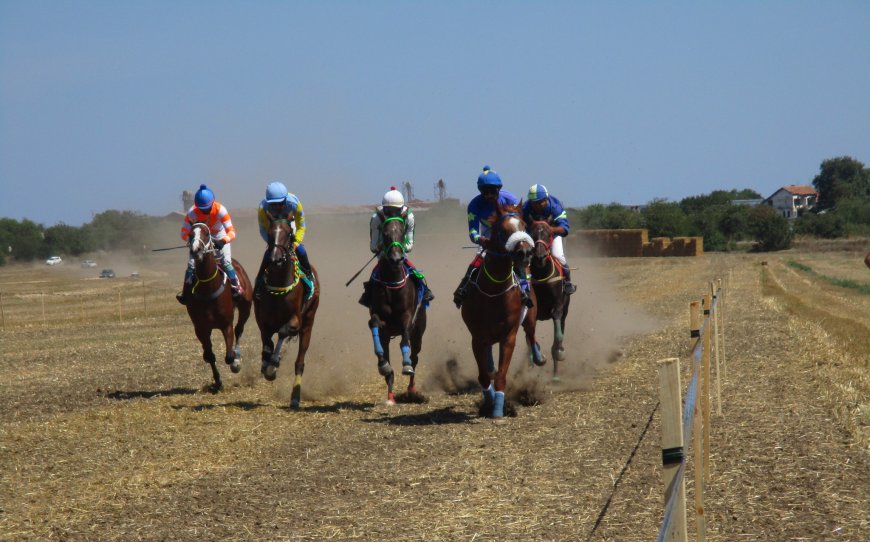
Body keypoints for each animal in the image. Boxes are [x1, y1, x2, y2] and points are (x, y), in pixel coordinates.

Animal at [183, 223, 254, 394]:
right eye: (190, 234)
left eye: (206, 233)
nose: (196, 250)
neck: (208, 288)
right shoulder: (201, 328)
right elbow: (209, 356)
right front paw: (217, 382)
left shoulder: (226, 325)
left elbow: (228, 356)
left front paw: (235, 363)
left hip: (245, 308)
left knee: (239, 329)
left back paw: (237, 358)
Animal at [254, 219, 322, 410]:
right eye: (270, 233)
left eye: (287, 234)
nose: (275, 258)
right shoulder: (262, 321)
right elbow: (267, 342)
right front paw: (266, 364)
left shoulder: (295, 320)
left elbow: (283, 332)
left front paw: (273, 365)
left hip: (308, 324)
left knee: (300, 362)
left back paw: (294, 398)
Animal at [366, 210, 428, 406]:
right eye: (385, 233)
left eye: (402, 232)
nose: (395, 258)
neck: (392, 283)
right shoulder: (379, 318)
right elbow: (374, 323)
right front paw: (383, 365)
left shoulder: (407, 317)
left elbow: (404, 339)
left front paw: (406, 365)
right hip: (387, 336)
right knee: (388, 362)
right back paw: (390, 395)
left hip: (419, 333)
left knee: (415, 357)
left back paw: (411, 389)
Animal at [460, 202, 540, 422]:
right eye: (503, 230)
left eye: (524, 225)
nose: (525, 252)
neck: (494, 292)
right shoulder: (477, 337)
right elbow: (484, 376)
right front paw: (489, 403)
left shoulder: (508, 336)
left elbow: (502, 376)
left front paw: (498, 411)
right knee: (489, 364)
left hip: (530, 318)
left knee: (531, 335)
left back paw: (538, 356)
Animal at [524, 221, 572, 382]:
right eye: (531, 234)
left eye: (549, 233)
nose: (540, 256)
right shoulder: (530, 311)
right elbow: (529, 338)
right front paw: (535, 357)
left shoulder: (557, 309)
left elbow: (558, 337)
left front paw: (559, 352)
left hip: (565, 312)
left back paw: (556, 375)